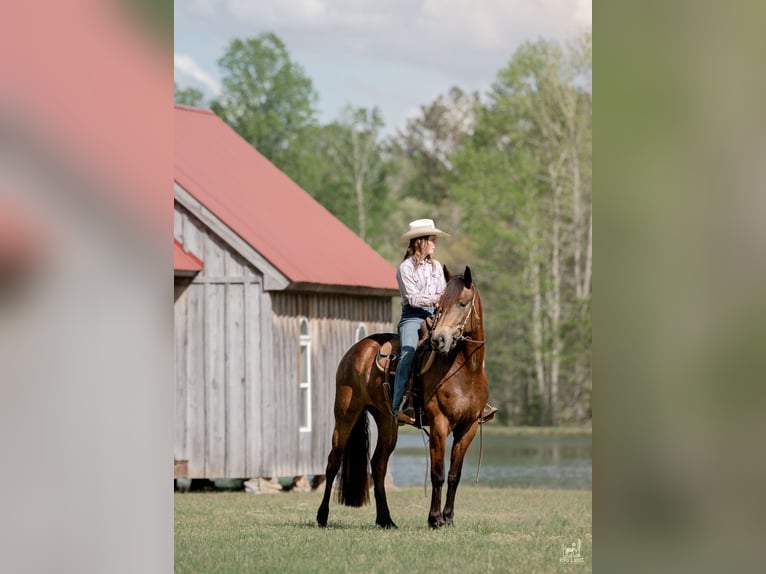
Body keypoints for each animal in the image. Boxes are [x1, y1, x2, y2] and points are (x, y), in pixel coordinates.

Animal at [316, 265, 488, 529]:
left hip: (387, 421)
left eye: (462, 303)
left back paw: (385, 519)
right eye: (440, 306)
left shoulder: (467, 428)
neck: (465, 371)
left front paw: (448, 518)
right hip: (345, 415)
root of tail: (356, 350)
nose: (439, 340)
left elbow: (454, 475)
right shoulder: (439, 425)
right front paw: (434, 519)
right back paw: (322, 516)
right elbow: (437, 474)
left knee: (378, 465)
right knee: (333, 462)